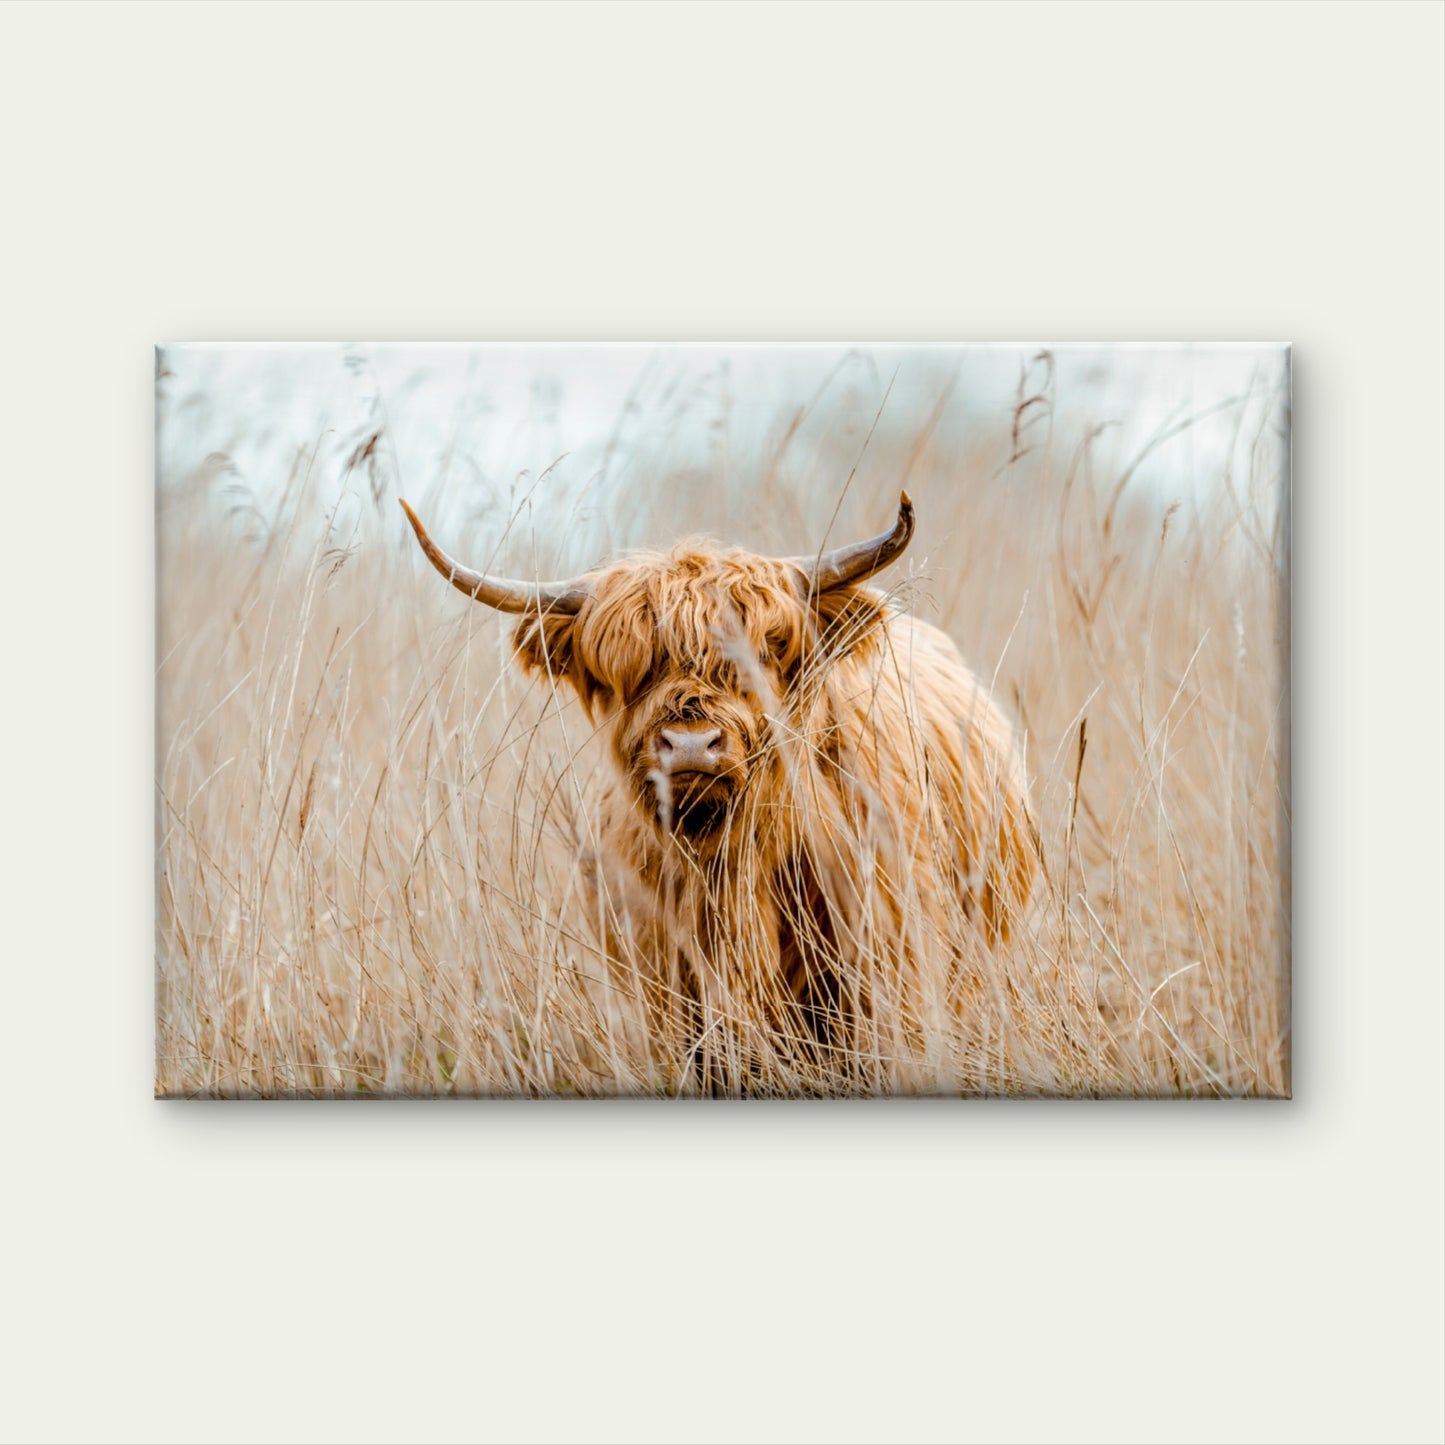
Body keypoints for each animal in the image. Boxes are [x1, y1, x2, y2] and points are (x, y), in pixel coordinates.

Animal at [401, 492, 1037, 1093]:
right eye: (629, 670)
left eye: (764, 653)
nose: (689, 745)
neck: (733, 866)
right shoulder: (677, 997)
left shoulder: (888, 971)